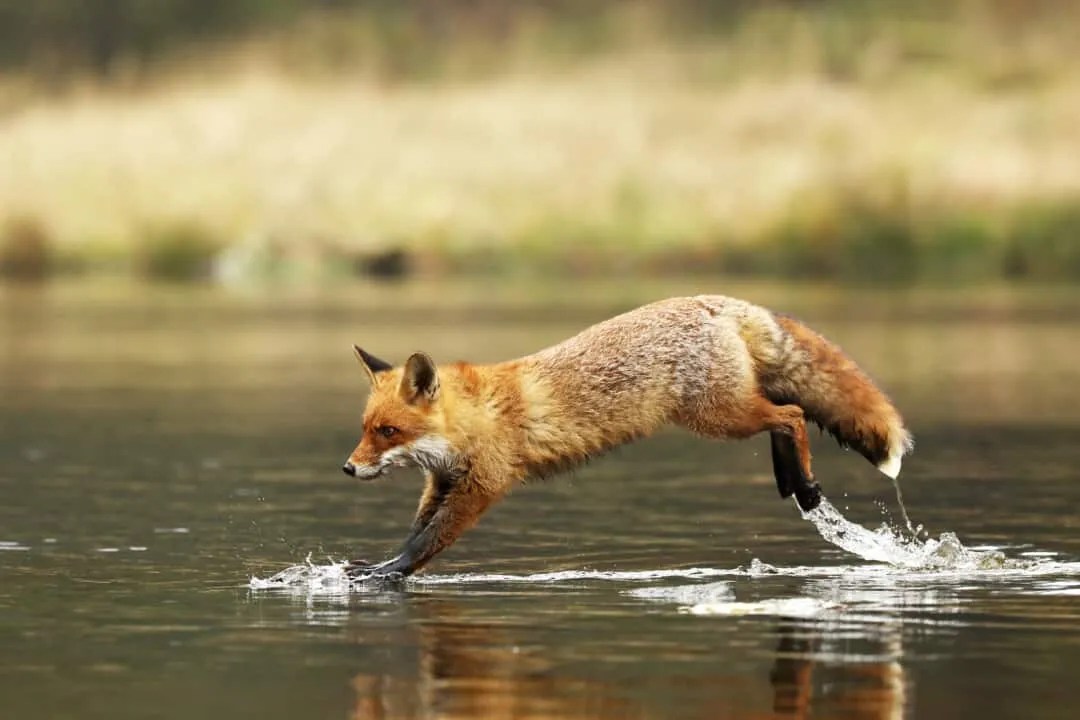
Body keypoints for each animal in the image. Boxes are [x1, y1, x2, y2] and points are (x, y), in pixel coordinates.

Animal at [342, 295, 912, 579]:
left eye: (388, 431)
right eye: (365, 430)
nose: (348, 468)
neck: (477, 416)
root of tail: (717, 300)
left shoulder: (483, 485)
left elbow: (428, 542)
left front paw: (387, 574)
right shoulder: (441, 482)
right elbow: (416, 530)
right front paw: (380, 563)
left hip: (719, 418)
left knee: (792, 414)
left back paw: (806, 486)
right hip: (732, 409)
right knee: (786, 413)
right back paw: (791, 480)